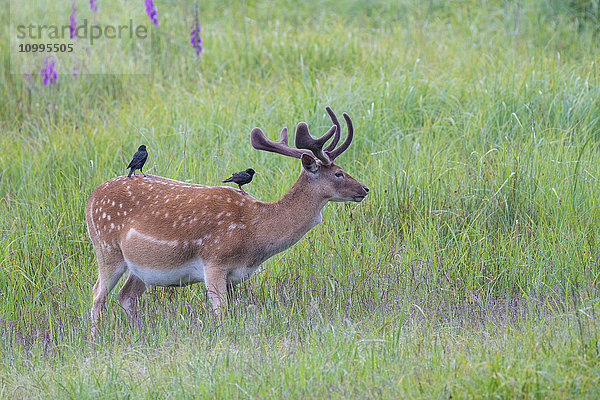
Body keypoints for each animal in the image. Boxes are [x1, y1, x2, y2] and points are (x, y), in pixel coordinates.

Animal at [84, 106, 366, 328]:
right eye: (339, 173)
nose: (364, 189)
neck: (255, 231)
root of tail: (90, 199)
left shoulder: (233, 274)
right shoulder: (214, 261)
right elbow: (221, 313)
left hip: (141, 267)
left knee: (126, 296)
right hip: (106, 249)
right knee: (97, 294)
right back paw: (96, 337)